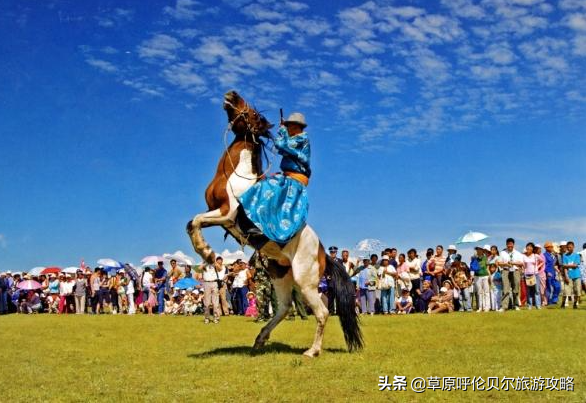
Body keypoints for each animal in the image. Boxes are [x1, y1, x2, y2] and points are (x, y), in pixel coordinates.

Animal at [187, 90, 360, 356]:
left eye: (252, 112)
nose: (231, 94)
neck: (236, 175)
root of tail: (323, 252)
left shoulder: (226, 214)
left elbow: (194, 222)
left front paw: (206, 252)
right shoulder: (215, 213)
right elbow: (192, 223)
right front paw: (205, 251)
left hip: (305, 281)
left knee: (321, 312)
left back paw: (312, 351)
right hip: (280, 274)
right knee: (284, 307)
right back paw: (260, 338)